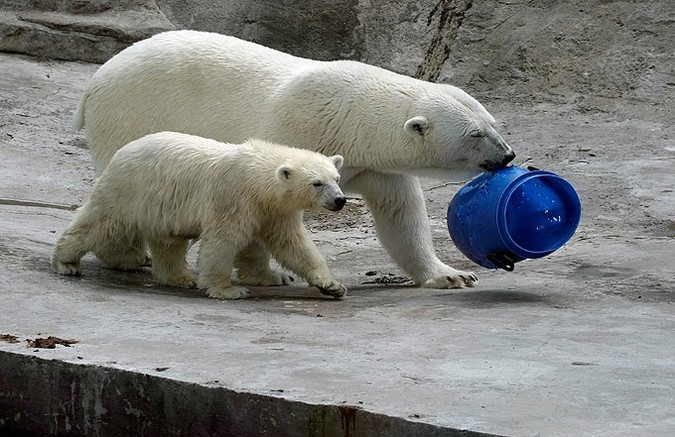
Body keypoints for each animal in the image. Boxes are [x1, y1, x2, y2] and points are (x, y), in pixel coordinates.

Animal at [51, 131, 348, 298]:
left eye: (336, 178)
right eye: (316, 183)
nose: (340, 200)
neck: (258, 178)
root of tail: (120, 152)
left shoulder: (272, 210)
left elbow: (290, 244)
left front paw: (326, 284)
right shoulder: (233, 198)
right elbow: (223, 241)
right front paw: (228, 290)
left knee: (169, 243)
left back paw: (180, 277)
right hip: (130, 191)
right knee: (101, 224)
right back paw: (67, 262)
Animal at [75, 30, 516, 290]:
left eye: (493, 123)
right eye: (475, 134)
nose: (508, 154)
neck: (350, 116)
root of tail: (95, 81)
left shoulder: (376, 165)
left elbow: (400, 214)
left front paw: (450, 275)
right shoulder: (293, 129)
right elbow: (268, 201)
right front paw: (274, 271)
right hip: (130, 115)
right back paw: (126, 256)